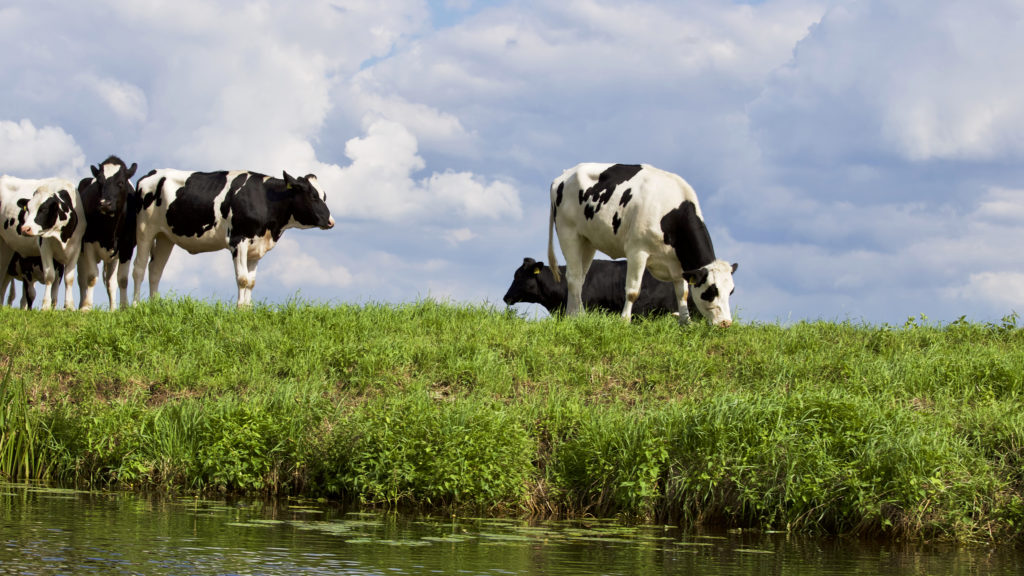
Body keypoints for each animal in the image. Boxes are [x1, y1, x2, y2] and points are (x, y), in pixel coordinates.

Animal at [0, 175, 85, 310]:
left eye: (44, 209)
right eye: (28, 209)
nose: (25, 228)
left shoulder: (76, 247)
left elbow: (69, 278)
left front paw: (69, 306)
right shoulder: (44, 247)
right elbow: (49, 276)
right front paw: (45, 306)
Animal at [77, 156, 138, 310]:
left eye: (121, 182)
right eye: (100, 182)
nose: (105, 203)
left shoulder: (127, 246)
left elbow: (122, 279)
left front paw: (123, 307)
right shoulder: (88, 243)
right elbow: (91, 277)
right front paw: (87, 307)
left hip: (113, 259)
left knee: (111, 282)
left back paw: (112, 309)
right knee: (81, 280)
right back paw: (80, 305)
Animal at [132, 169, 335, 307]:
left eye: (324, 196)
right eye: (312, 196)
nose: (331, 221)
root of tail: (152, 173)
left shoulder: (256, 246)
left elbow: (251, 282)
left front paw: (248, 309)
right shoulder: (238, 240)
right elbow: (242, 279)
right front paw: (239, 310)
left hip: (165, 237)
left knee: (155, 270)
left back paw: (154, 306)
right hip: (144, 229)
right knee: (139, 268)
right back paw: (135, 306)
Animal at [547, 163, 737, 327]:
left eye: (731, 291)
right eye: (711, 291)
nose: (726, 323)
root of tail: (564, 174)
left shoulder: (677, 264)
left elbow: (682, 293)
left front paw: (686, 322)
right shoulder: (637, 252)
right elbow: (633, 291)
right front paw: (624, 321)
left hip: (587, 240)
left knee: (580, 277)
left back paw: (574, 315)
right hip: (568, 232)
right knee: (573, 277)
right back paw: (577, 316)